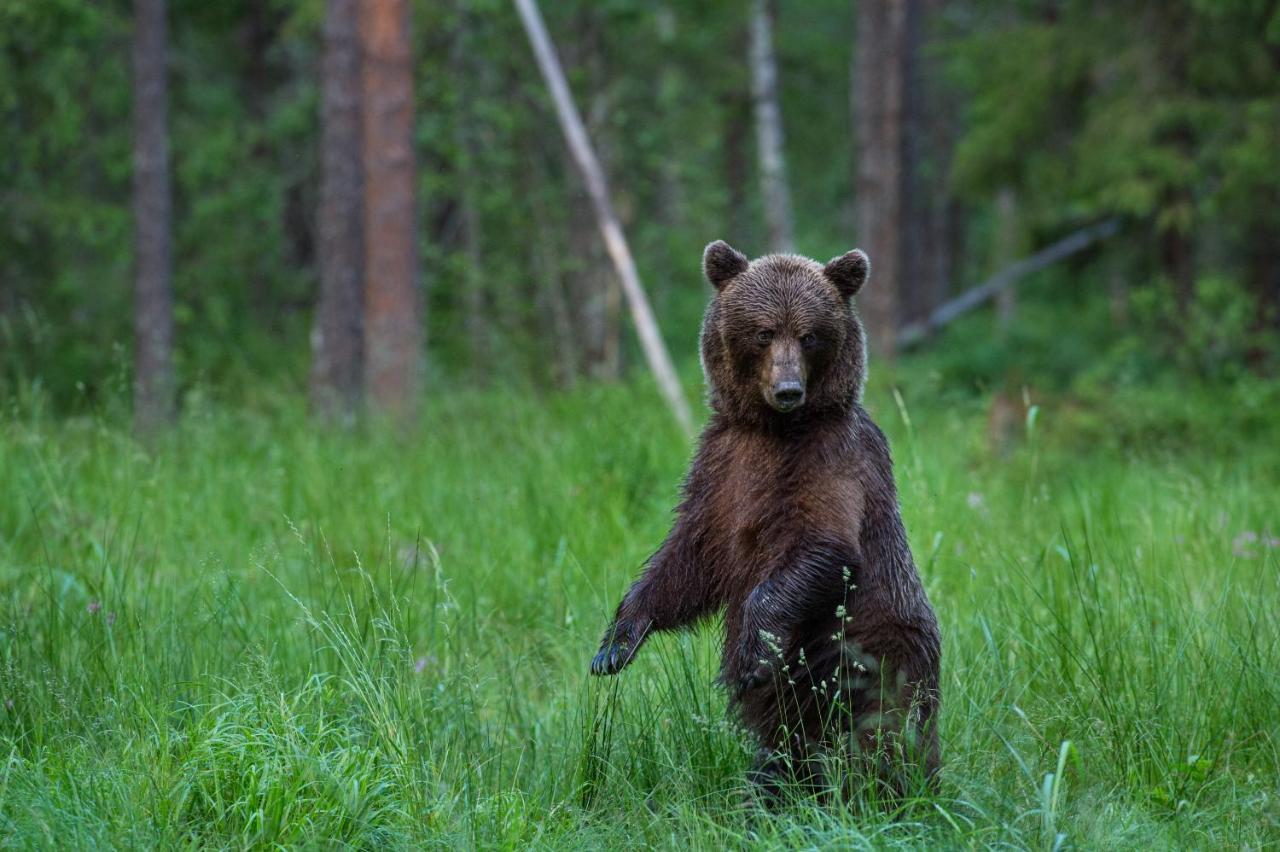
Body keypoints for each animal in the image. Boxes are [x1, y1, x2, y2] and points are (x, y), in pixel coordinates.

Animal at [588, 239, 942, 798]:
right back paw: (769, 792)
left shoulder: (832, 460)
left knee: (884, 733)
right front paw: (617, 643)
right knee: (784, 748)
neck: (774, 430)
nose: (789, 389)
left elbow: (824, 546)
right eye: (763, 331)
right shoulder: (721, 468)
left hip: (874, 653)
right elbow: (687, 560)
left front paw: (751, 653)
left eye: (810, 335)